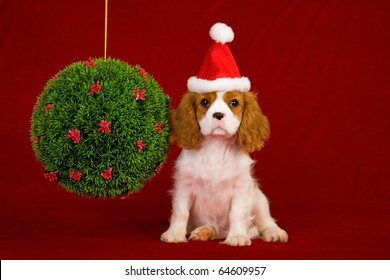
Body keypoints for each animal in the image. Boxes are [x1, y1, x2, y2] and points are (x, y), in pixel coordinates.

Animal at [160, 91, 288, 246]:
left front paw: (237, 236)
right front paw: (175, 233)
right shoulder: (184, 186)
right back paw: (206, 231)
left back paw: (275, 232)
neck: (216, 145)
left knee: (265, 222)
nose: (218, 114)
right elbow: (181, 211)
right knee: (218, 230)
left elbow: (237, 213)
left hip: (259, 199)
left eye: (234, 103)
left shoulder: (241, 187)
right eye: (204, 102)